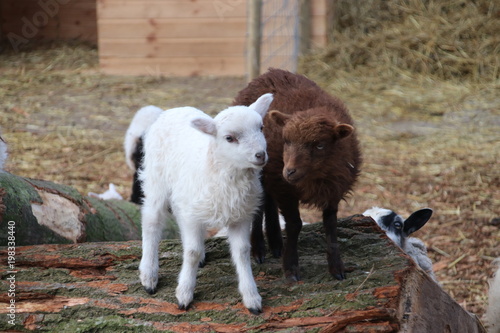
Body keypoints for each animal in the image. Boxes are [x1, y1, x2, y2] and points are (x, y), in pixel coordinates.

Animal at [139, 92, 274, 312]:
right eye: (229, 138)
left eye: (261, 128)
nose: (260, 155)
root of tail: (175, 109)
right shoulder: (192, 216)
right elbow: (192, 252)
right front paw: (184, 293)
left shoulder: (241, 216)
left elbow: (242, 251)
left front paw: (251, 297)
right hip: (155, 177)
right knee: (152, 221)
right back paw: (149, 274)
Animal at [232, 67, 362, 280]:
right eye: (286, 140)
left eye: (320, 145)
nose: (289, 171)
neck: (316, 177)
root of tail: (269, 73)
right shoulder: (285, 188)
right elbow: (294, 225)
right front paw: (291, 267)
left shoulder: (333, 190)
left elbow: (331, 225)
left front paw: (337, 267)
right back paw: (259, 249)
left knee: (268, 200)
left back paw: (276, 243)